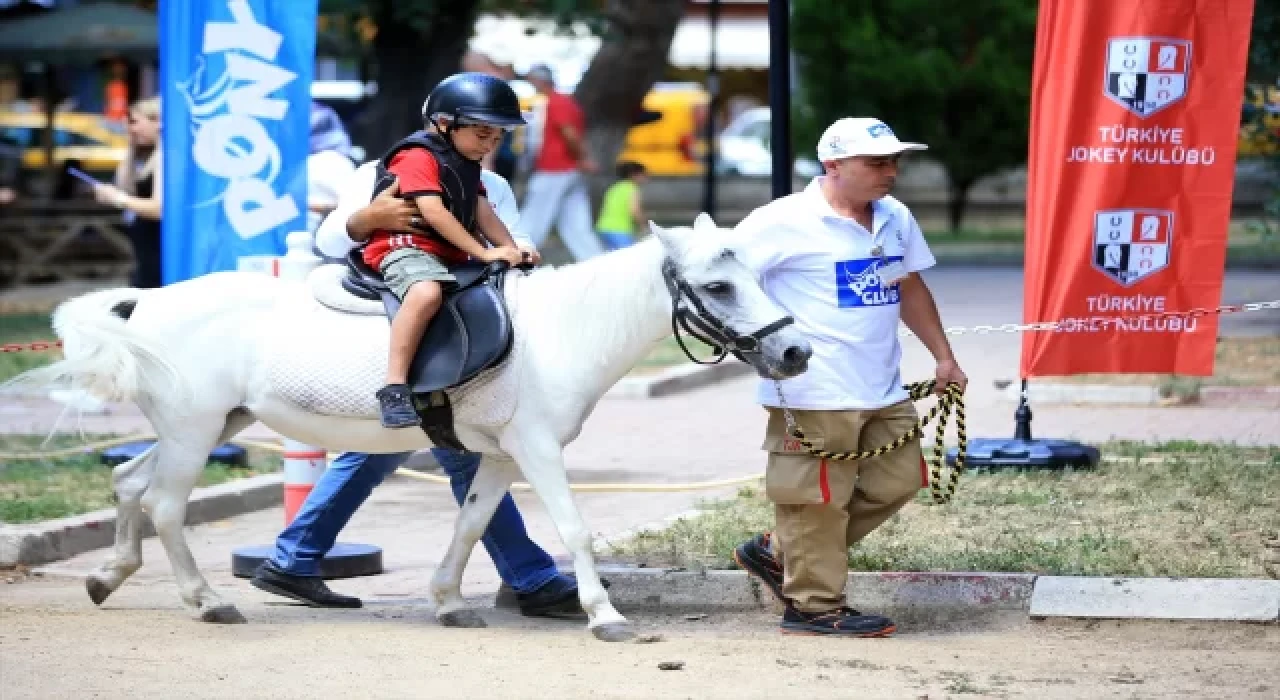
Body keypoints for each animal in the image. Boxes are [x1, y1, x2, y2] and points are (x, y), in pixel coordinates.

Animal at [8, 213, 812, 642]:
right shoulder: (539, 451)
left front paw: (451, 603)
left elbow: (472, 523)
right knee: (167, 505)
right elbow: (575, 531)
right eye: (717, 286)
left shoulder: (501, 456)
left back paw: (109, 576)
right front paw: (604, 615)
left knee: (128, 483)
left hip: (198, 428)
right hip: (192, 431)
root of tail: (145, 303)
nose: (795, 353)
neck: (558, 330)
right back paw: (209, 601)